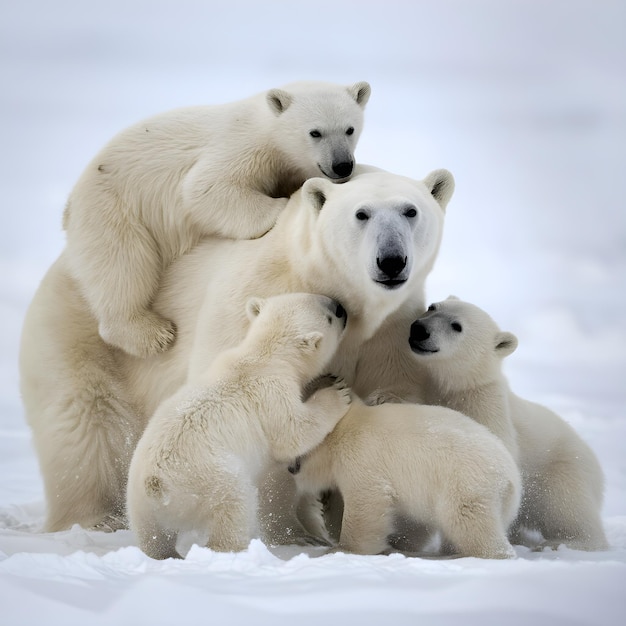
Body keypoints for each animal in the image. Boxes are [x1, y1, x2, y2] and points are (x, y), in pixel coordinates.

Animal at [19, 167, 454, 540]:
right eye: (361, 214)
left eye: (411, 210)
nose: (391, 260)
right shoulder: (258, 296)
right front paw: (291, 532)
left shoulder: (393, 329)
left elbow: (392, 396)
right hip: (79, 333)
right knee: (85, 429)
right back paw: (98, 519)